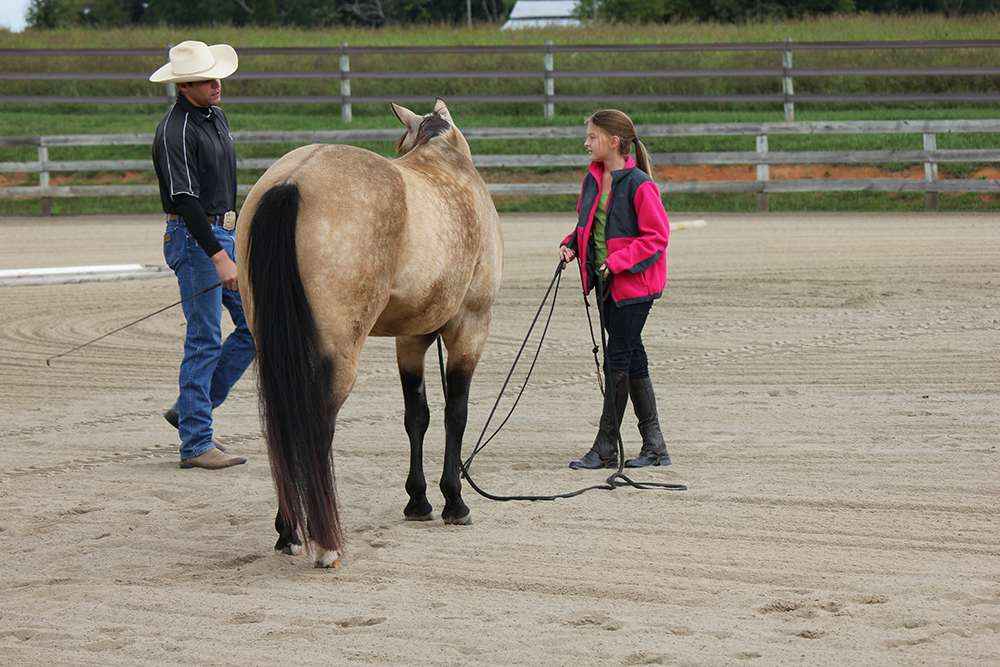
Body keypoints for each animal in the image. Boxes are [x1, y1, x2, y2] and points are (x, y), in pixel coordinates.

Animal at [235, 98, 504, 568]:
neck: (446, 160)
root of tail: (291, 181)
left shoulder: (411, 339)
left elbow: (417, 416)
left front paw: (418, 501)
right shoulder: (471, 327)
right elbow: (456, 414)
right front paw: (454, 502)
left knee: (280, 432)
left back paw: (288, 532)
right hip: (340, 356)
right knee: (314, 428)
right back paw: (326, 544)